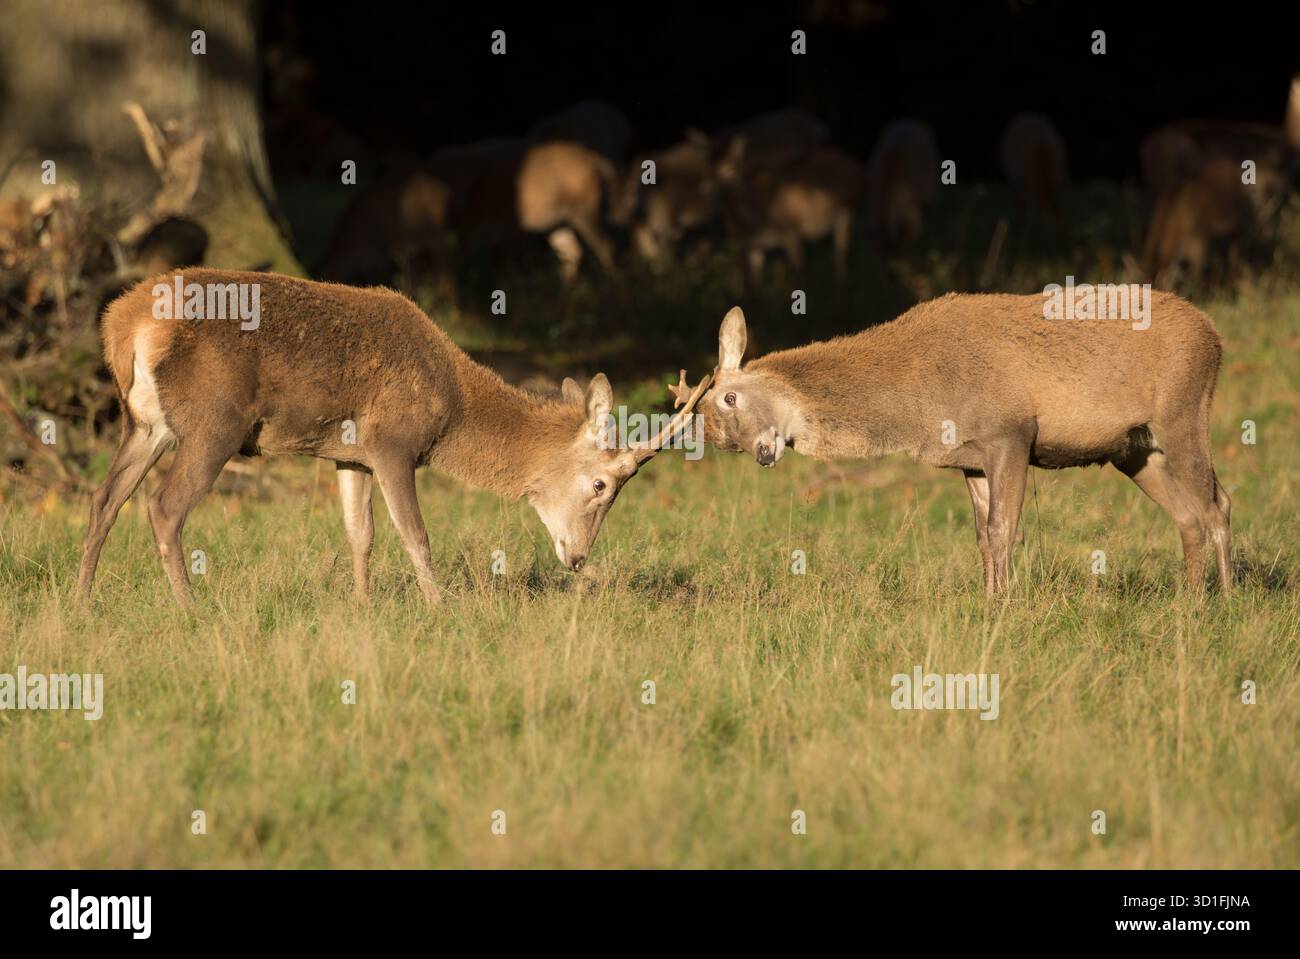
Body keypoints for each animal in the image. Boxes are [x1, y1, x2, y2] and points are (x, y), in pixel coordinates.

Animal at [77, 270, 709, 608]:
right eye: (602, 484)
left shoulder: (348, 455)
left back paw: (81, 602)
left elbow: (361, 535)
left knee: (104, 498)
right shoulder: (391, 442)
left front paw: (361, 604)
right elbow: (415, 534)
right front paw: (440, 607)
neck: (452, 407)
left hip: (146, 423)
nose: (578, 558)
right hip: (214, 421)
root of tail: (123, 323)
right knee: (163, 505)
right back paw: (190, 605)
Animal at [686, 296, 1231, 595]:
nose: (761, 453)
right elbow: (983, 537)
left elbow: (1005, 531)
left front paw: (1006, 605)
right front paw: (990, 600)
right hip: (1134, 449)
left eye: (730, 397)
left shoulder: (1010, 431)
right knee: (1192, 514)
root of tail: (1215, 335)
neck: (919, 400)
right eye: (720, 437)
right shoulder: (970, 460)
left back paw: (1222, 600)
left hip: (1184, 410)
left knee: (1215, 505)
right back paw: (1189, 599)